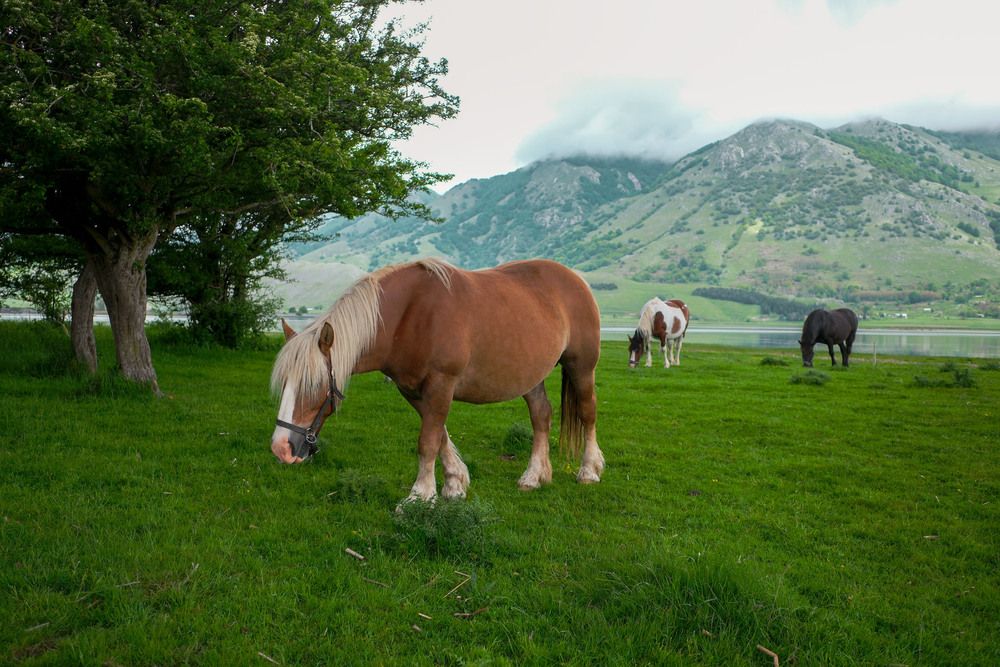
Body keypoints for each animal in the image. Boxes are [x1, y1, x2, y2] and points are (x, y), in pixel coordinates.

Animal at [269, 258, 605, 503]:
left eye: (313, 385)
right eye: (284, 384)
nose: (281, 448)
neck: (409, 315)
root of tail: (575, 279)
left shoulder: (442, 384)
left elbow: (428, 441)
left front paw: (420, 495)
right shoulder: (414, 390)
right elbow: (440, 435)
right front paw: (455, 483)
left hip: (582, 367)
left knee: (588, 413)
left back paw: (589, 470)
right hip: (532, 376)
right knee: (541, 416)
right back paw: (534, 476)